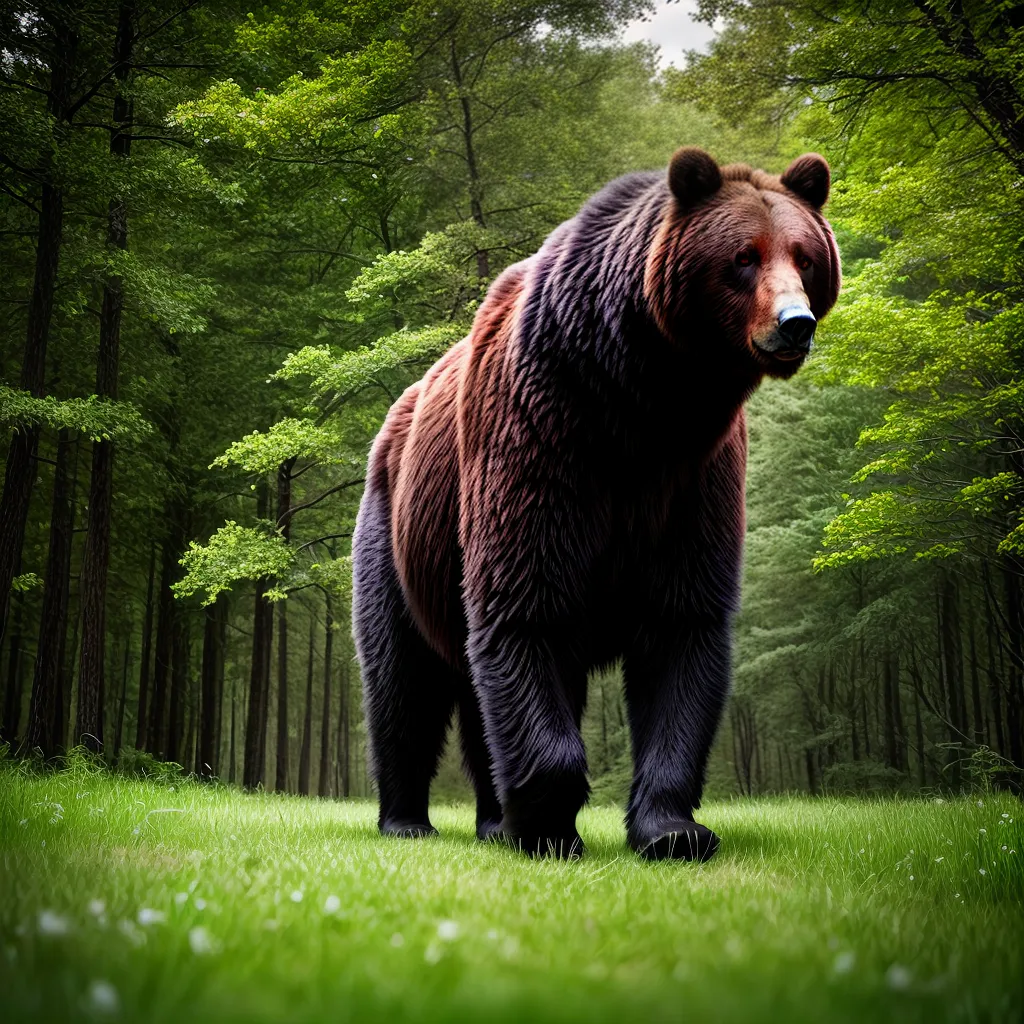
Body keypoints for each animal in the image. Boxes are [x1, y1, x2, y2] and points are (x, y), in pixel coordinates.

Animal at [351, 147, 841, 860]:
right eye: (743, 257)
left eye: (805, 257)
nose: (794, 324)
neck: (640, 396)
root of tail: (394, 417)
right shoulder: (543, 439)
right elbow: (525, 606)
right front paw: (550, 826)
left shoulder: (692, 479)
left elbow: (682, 629)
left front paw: (673, 828)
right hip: (400, 533)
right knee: (403, 681)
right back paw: (407, 818)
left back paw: (493, 820)